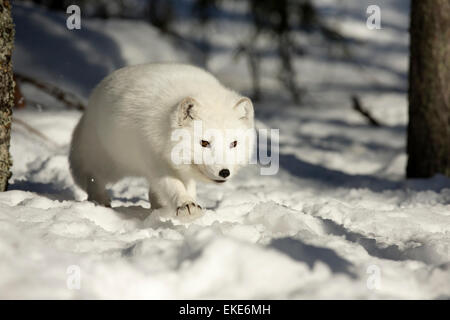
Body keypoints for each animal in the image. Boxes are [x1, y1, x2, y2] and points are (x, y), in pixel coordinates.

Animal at [69, 63, 255, 216]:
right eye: (204, 143)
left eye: (234, 144)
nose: (224, 172)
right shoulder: (154, 159)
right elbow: (173, 185)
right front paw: (185, 204)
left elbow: (186, 187)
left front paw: (189, 203)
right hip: (111, 164)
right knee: (92, 176)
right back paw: (99, 200)